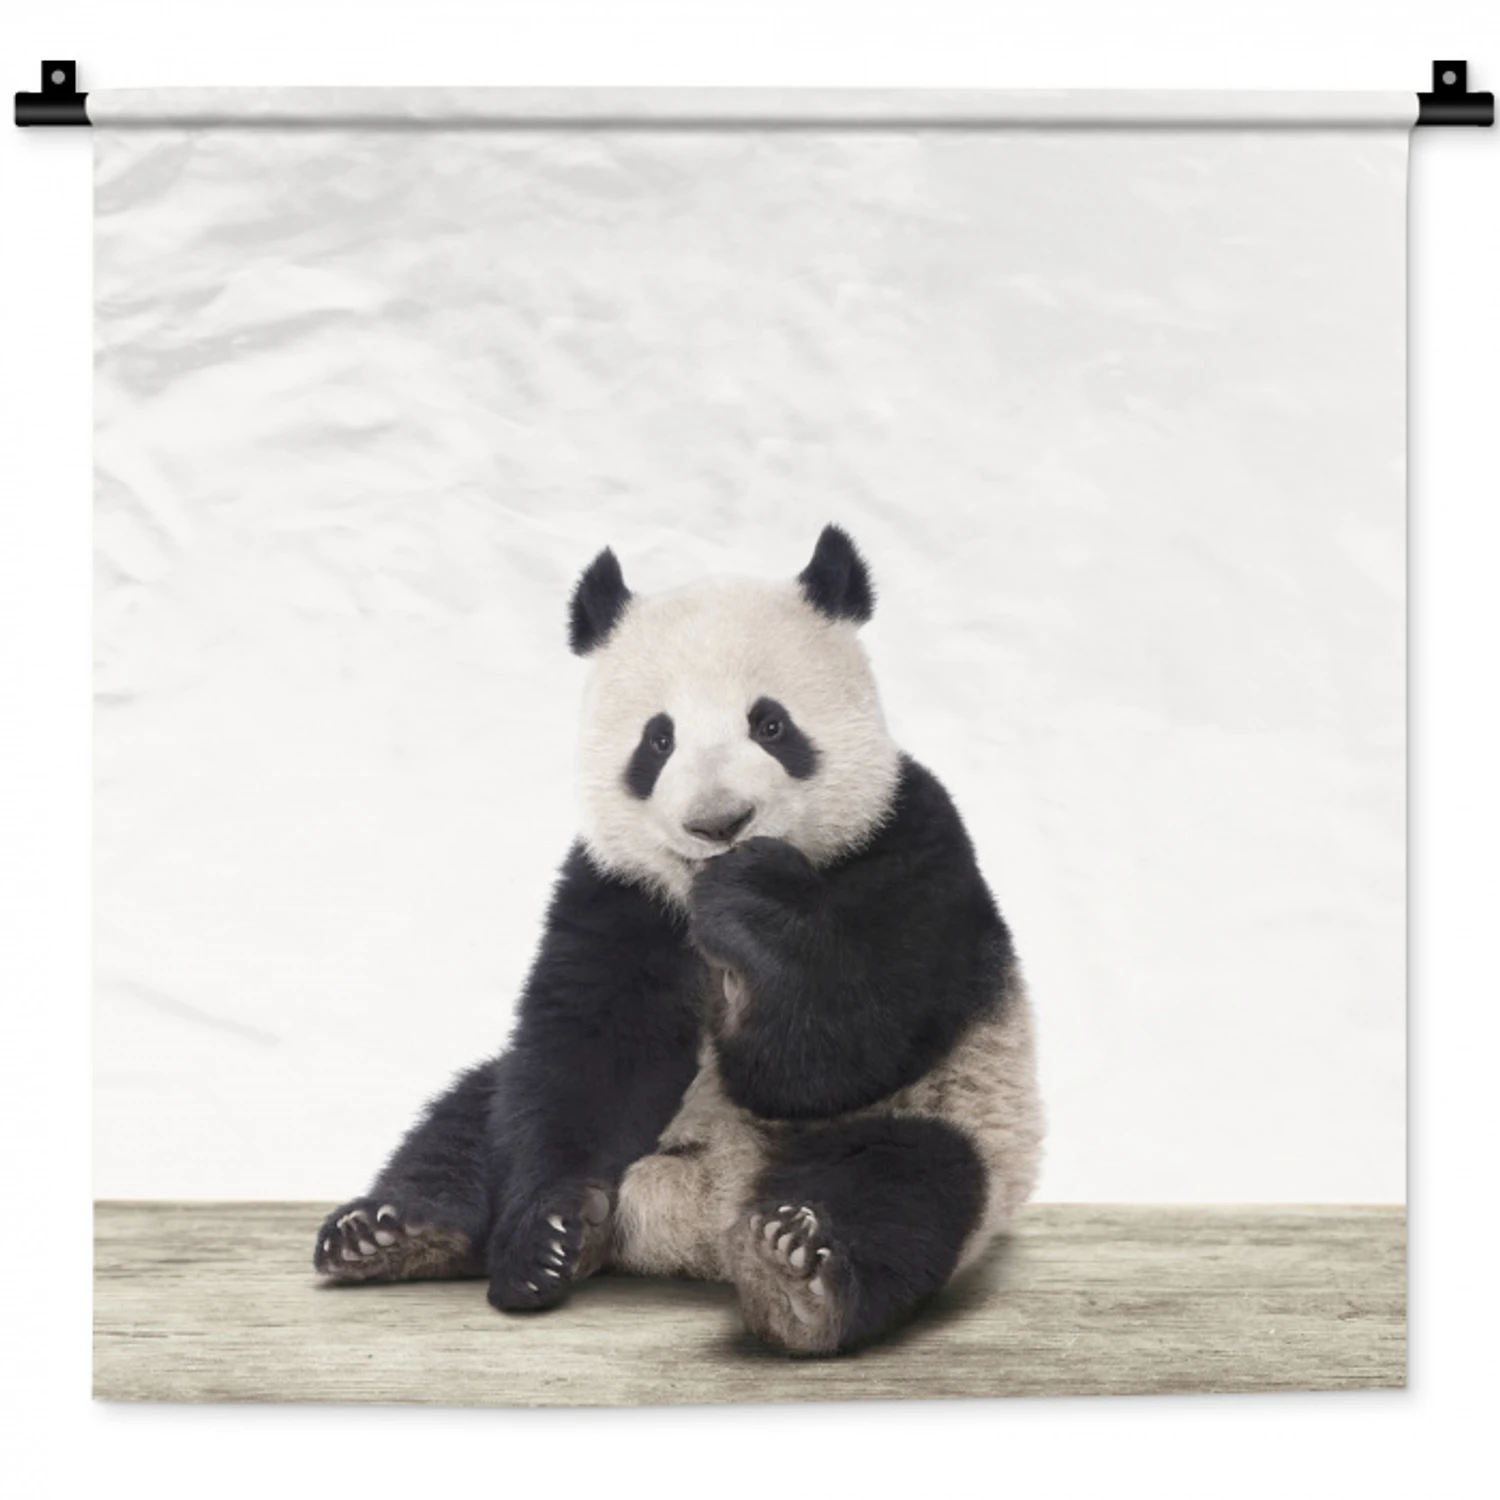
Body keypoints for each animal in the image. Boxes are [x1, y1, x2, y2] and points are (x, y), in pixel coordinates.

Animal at [314, 525, 1043, 1356]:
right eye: (657, 741)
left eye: (771, 725)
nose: (718, 823)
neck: (693, 895)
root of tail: (696, 1225)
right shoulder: (617, 890)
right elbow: (588, 1054)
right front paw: (546, 1239)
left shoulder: (910, 842)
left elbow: (838, 1047)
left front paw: (753, 903)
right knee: (471, 1115)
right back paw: (396, 1232)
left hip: (961, 1116)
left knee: (905, 1185)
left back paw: (797, 1274)